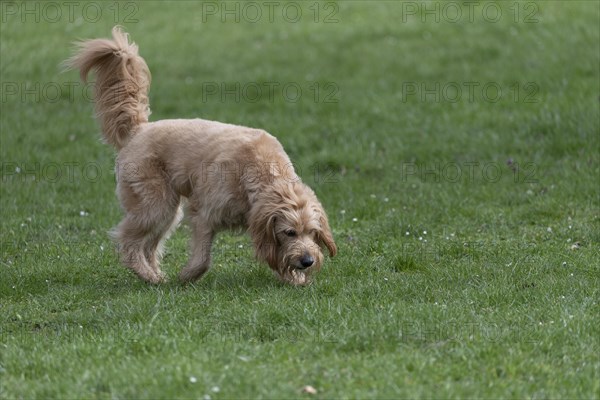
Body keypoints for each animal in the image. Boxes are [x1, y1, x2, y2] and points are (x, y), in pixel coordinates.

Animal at [67, 26, 338, 286]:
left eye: (312, 232)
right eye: (289, 232)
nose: (307, 261)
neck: (259, 170)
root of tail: (139, 129)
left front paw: (295, 279)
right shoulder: (204, 215)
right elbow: (203, 259)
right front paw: (187, 277)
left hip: (168, 212)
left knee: (149, 246)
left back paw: (155, 276)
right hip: (155, 205)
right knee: (129, 242)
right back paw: (149, 276)